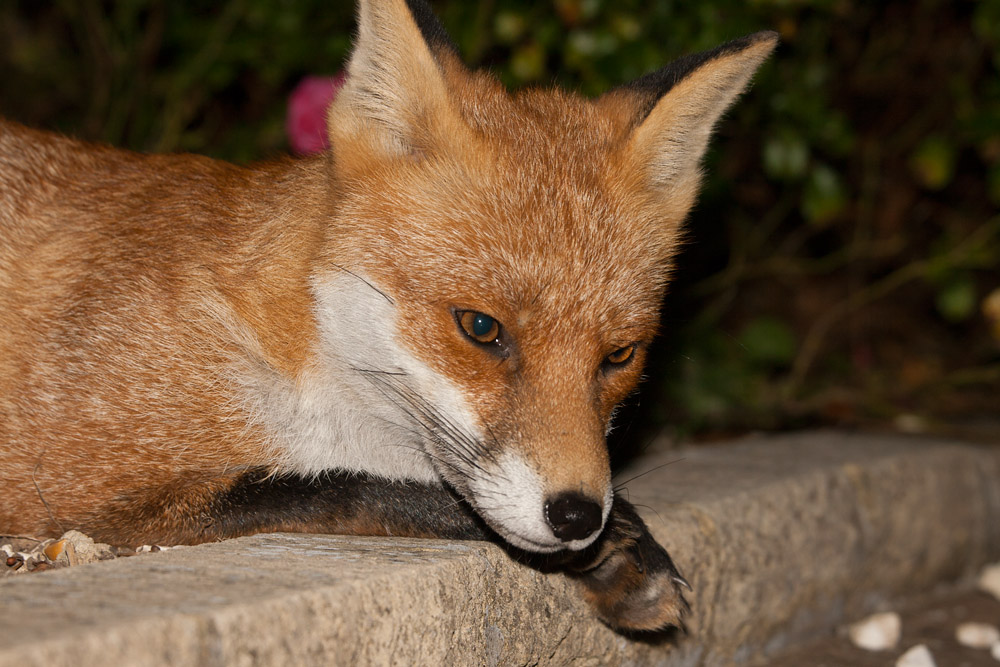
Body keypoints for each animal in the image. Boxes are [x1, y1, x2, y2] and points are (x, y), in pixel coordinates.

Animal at [0, 0, 775, 632]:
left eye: (620, 355)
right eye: (481, 328)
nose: (578, 515)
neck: (291, 348)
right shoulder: (86, 498)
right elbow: (334, 486)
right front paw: (616, 545)